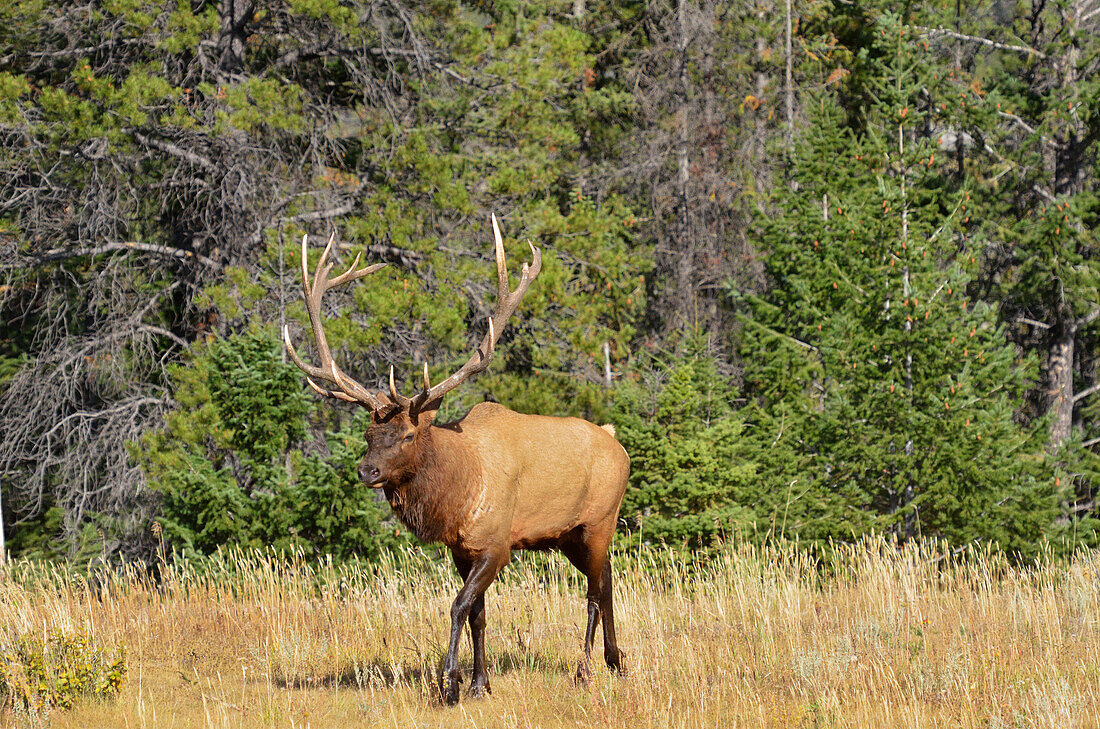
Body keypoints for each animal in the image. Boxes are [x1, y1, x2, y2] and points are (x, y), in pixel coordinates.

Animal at [283, 217, 629, 708]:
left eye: (408, 435)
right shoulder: (460, 549)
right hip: (569, 535)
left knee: (595, 592)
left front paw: (449, 682)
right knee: (609, 576)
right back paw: (616, 661)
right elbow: (479, 613)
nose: (367, 471)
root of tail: (618, 443)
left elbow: (459, 605)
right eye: (368, 435)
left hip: (599, 519)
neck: (459, 494)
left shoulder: (497, 544)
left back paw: (584, 671)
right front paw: (481, 683)